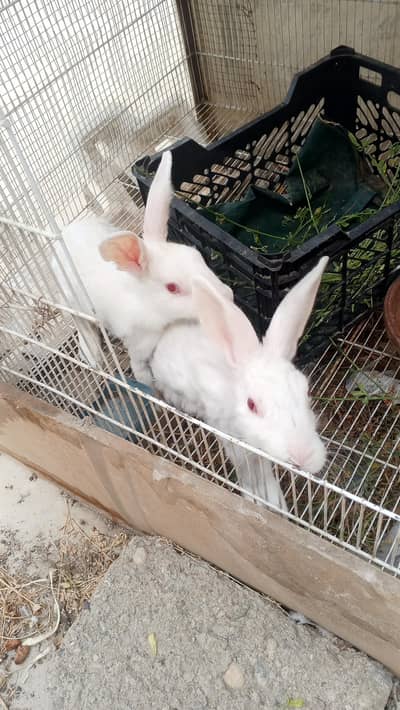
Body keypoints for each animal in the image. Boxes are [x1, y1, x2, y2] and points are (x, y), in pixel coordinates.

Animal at [52, 150, 232, 381]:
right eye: (172, 288)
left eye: (198, 256)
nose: (227, 295)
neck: (147, 304)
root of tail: (66, 230)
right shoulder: (138, 344)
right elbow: (139, 369)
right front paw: (146, 382)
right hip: (72, 303)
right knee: (81, 323)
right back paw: (91, 355)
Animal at [150, 256, 329, 511]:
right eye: (251, 405)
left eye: (306, 393)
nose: (302, 456)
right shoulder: (231, 436)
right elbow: (247, 470)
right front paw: (254, 498)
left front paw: (275, 502)